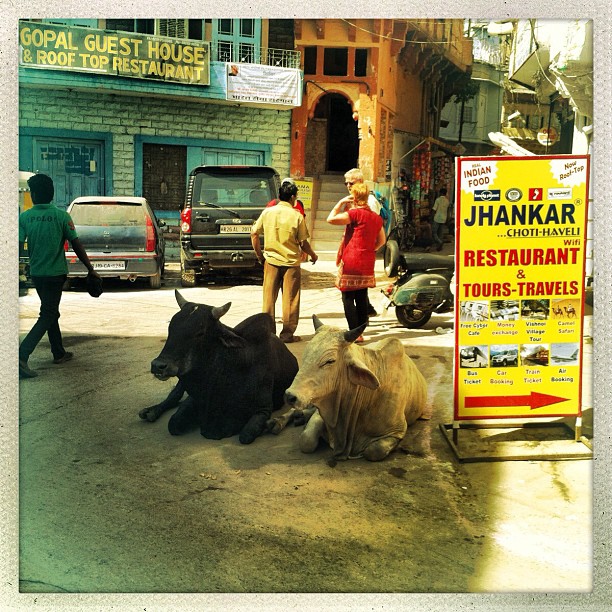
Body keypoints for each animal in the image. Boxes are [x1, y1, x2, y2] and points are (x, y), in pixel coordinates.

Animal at [141, 292, 298, 444]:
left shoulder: (263, 410)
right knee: (174, 395)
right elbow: (173, 423)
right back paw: (151, 411)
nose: (158, 365)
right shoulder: (193, 398)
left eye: (200, 332)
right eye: (171, 327)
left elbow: (245, 436)